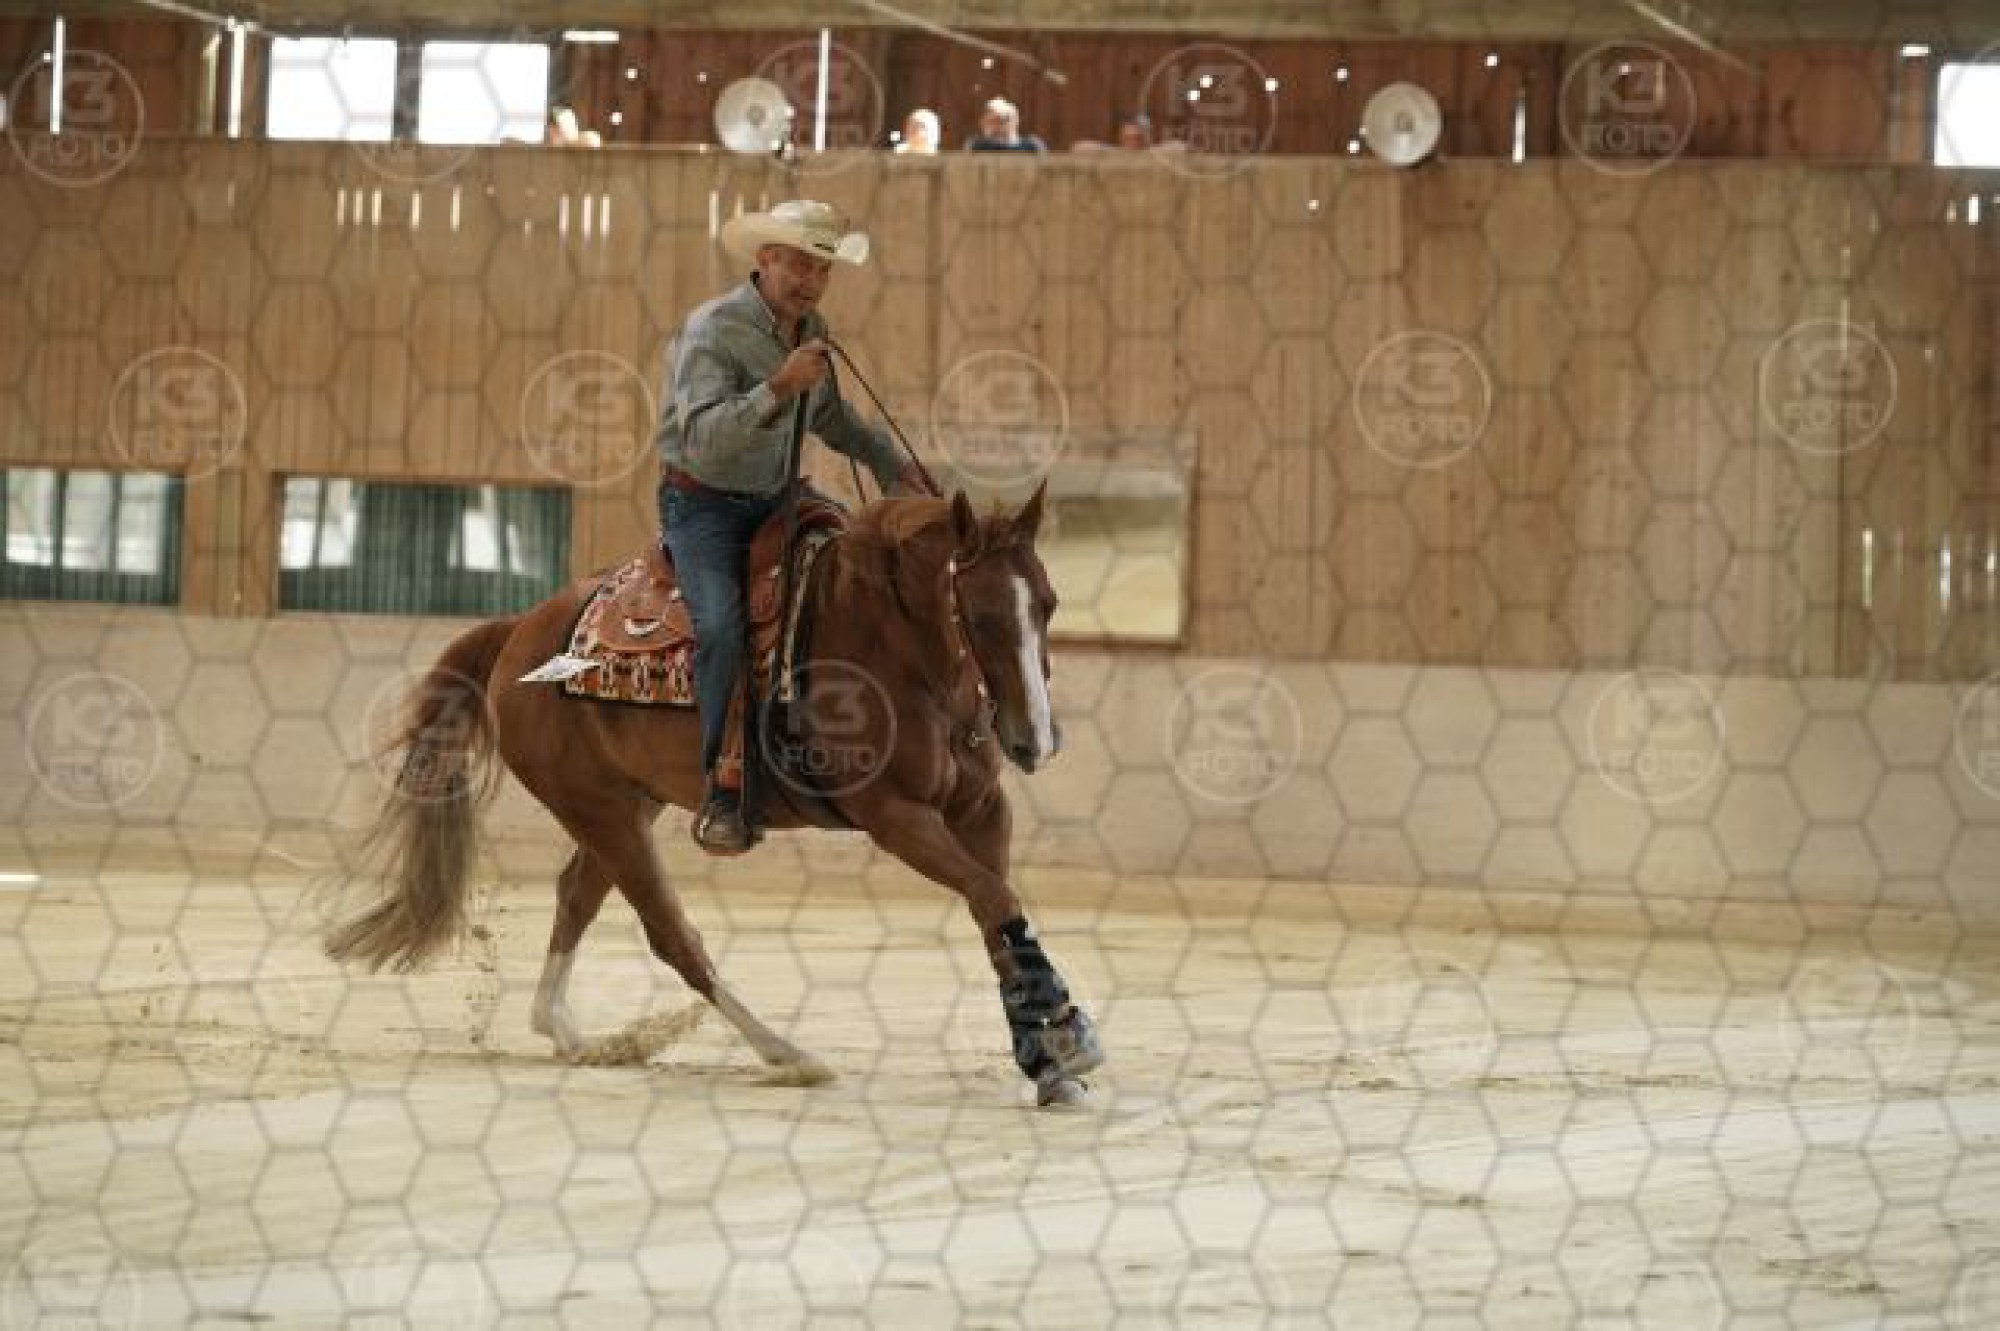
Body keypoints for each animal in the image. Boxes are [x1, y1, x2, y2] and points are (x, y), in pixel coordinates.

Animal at [322, 483, 1105, 1107]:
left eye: (1048, 603)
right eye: (982, 614)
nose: (1034, 739)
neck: (895, 649)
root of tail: (519, 632)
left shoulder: (980, 809)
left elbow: (995, 910)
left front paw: (1047, 1054)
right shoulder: (895, 817)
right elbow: (993, 897)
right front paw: (1066, 1039)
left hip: (624, 805)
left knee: (576, 894)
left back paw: (568, 1031)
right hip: (599, 811)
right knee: (673, 936)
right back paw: (786, 1053)